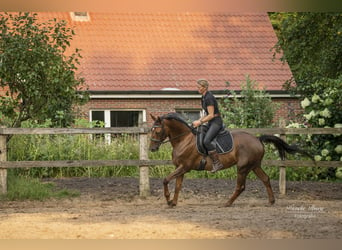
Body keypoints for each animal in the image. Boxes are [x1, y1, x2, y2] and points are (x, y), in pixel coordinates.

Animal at [150, 113, 312, 207]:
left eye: (157, 131)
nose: (152, 148)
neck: (183, 140)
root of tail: (257, 139)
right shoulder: (181, 168)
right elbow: (177, 186)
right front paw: (173, 202)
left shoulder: (184, 167)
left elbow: (165, 180)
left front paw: (168, 199)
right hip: (254, 166)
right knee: (265, 179)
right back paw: (271, 201)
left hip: (242, 167)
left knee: (241, 186)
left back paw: (227, 203)